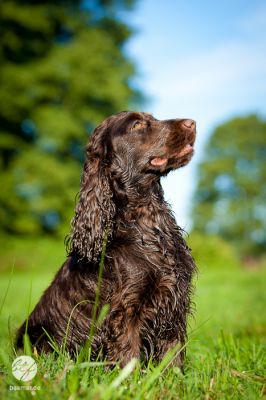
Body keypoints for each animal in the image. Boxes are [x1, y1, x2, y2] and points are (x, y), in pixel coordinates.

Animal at [16, 111, 195, 368]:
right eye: (137, 124)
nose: (192, 123)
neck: (147, 220)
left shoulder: (173, 303)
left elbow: (173, 356)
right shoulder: (126, 310)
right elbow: (128, 356)